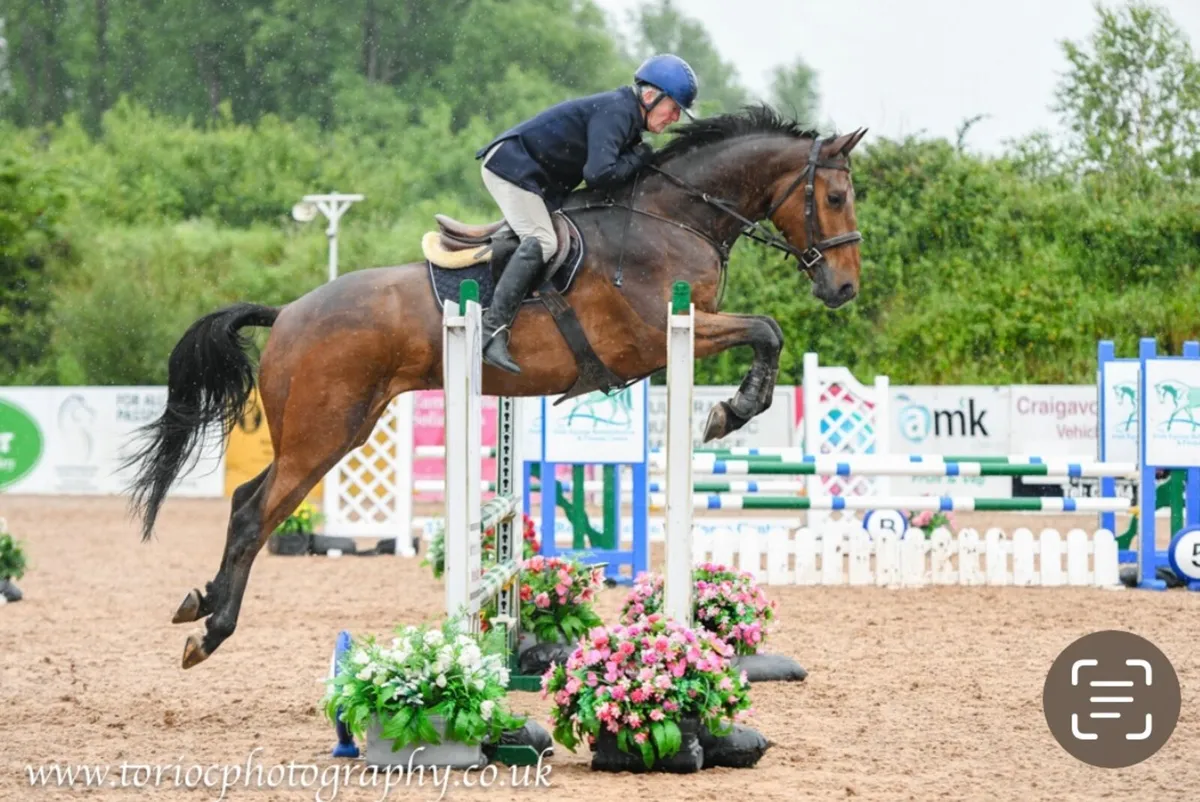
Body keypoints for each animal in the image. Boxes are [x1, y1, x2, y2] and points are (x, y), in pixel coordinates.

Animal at [125, 105, 867, 668]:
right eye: (835, 197)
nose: (844, 289)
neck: (672, 218)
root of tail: (286, 314)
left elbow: (767, 332)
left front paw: (732, 410)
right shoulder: (664, 333)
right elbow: (767, 329)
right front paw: (729, 413)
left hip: (342, 429)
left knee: (248, 500)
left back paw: (201, 604)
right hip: (322, 433)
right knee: (256, 512)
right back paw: (211, 630)